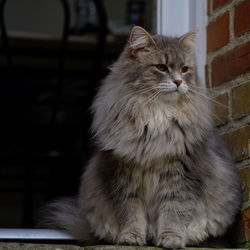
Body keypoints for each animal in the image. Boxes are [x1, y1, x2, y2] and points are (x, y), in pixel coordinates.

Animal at [42, 25, 241, 248]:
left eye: (184, 69)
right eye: (162, 67)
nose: (179, 81)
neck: (156, 117)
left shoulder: (182, 177)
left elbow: (174, 212)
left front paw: (171, 239)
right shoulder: (125, 177)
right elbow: (132, 212)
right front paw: (131, 237)